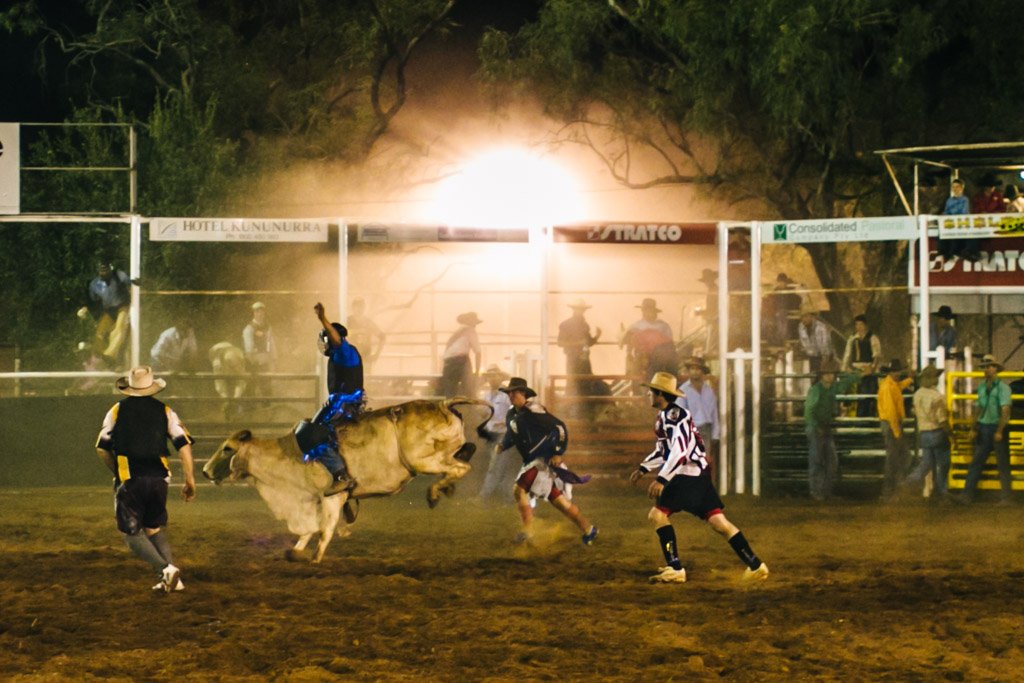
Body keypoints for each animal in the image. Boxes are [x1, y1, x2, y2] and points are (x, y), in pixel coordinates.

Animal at [203, 397, 491, 565]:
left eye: (227, 449)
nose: (205, 471)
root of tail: (443, 404)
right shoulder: (309, 499)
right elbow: (309, 529)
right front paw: (295, 551)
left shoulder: (333, 496)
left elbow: (325, 528)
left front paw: (315, 559)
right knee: (465, 454)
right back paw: (446, 486)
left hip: (423, 461)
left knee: (461, 467)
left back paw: (434, 492)